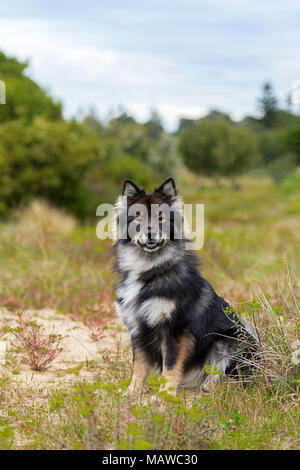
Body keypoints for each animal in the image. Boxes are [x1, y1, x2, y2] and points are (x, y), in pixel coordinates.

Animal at [113, 178, 256, 394]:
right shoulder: (138, 328)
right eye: (138, 218)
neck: (151, 270)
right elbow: (139, 366)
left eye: (161, 218)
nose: (150, 233)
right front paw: (131, 392)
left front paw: (164, 396)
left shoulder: (175, 329)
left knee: (222, 379)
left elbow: (170, 366)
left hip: (231, 341)